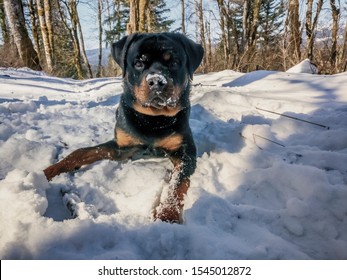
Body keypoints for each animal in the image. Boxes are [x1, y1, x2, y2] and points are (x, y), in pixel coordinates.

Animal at [44, 32, 205, 223]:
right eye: (138, 63)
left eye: (173, 63)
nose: (156, 81)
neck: (153, 120)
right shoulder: (122, 147)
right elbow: (82, 152)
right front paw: (49, 171)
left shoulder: (185, 153)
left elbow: (177, 183)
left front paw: (168, 213)